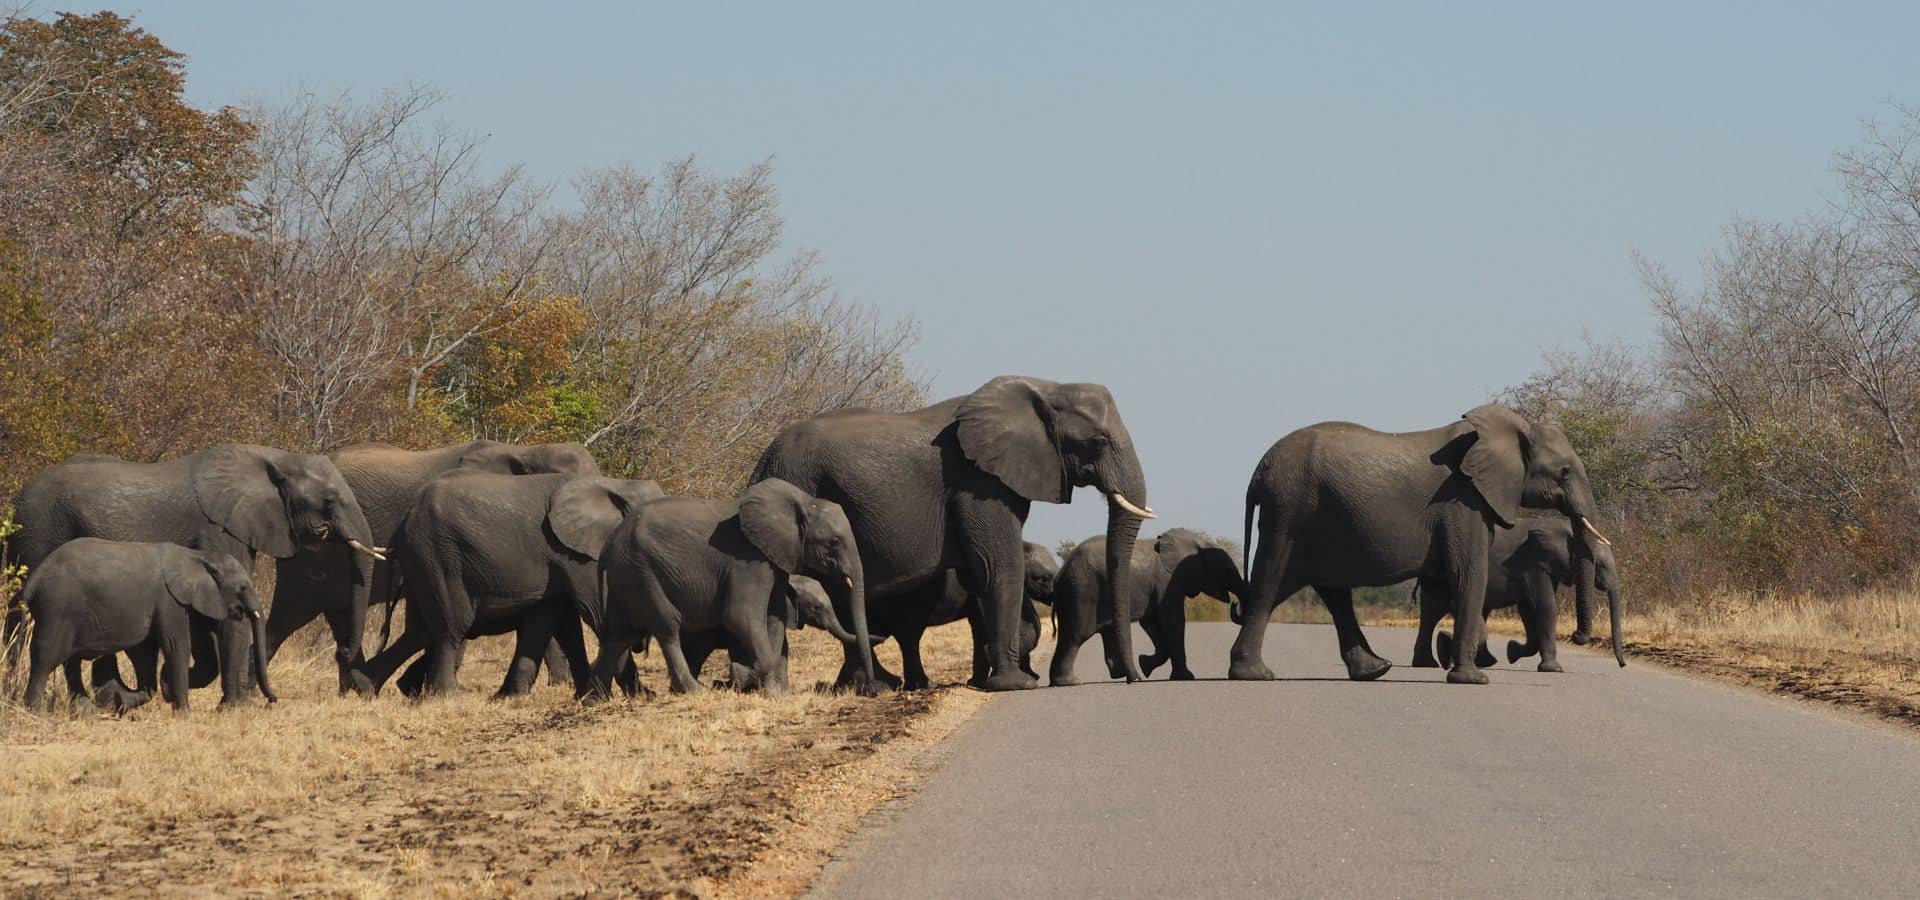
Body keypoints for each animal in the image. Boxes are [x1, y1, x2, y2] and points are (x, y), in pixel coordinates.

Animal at [19, 538, 277, 713]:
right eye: (242, 587)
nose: (273, 700)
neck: (197, 556)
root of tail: (34, 579)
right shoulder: (169, 600)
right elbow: (176, 645)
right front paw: (183, 713)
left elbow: (145, 655)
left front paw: (121, 701)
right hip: (57, 607)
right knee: (46, 658)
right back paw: (37, 714)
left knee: (69, 662)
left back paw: (86, 712)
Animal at [360, 471, 662, 698]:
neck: (616, 484)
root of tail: (404, 521)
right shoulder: (572, 552)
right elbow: (597, 614)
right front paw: (640, 696)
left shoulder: (558, 559)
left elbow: (556, 621)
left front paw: (515, 696)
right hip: (437, 554)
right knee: (451, 625)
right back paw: (446, 696)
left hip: (421, 562)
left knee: (418, 631)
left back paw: (369, 687)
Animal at [591, 478, 871, 697]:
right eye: (834, 543)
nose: (869, 688)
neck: (802, 501)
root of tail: (608, 545)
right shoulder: (747, 562)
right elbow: (741, 617)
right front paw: (768, 691)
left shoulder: (773, 561)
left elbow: (775, 617)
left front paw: (774, 691)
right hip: (640, 569)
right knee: (667, 623)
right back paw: (695, 691)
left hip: (625, 574)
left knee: (618, 632)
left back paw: (595, 699)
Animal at [1048, 528, 1243, 685]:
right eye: (1228, 571)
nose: (1235, 604)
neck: (1195, 540)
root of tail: (1059, 575)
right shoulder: (1168, 581)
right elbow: (1173, 621)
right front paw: (1185, 677)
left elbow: (1152, 624)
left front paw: (1145, 665)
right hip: (1081, 592)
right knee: (1076, 636)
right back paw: (1071, 682)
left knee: (1103, 631)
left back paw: (1119, 674)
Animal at [1416, 515, 1627, 672]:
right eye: (1600, 564)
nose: (1622, 665)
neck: (1563, 527)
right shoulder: (1532, 563)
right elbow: (1544, 606)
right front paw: (1553, 669)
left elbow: (1528, 609)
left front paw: (1512, 652)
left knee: (1432, 613)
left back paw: (1443, 657)